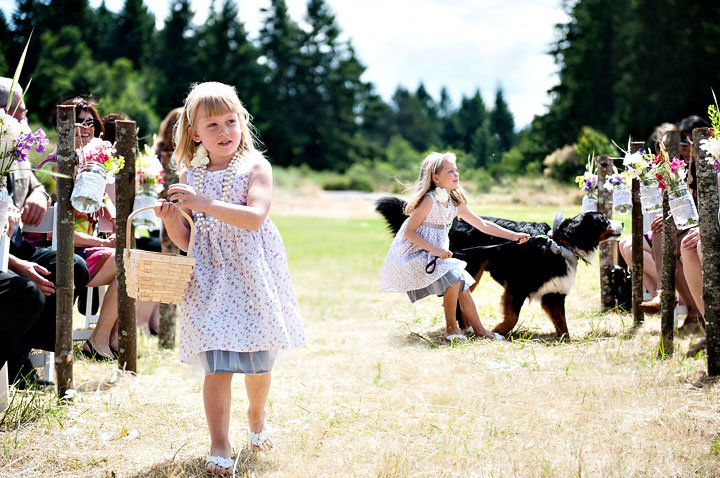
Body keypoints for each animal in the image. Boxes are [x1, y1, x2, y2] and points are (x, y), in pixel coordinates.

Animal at [374, 196, 620, 338]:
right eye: (604, 220)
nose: (622, 223)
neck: (560, 243)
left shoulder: (554, 293)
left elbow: (563, 325)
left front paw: (565, 339)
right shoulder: (518, 284)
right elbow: (512, 317)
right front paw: (497, 332)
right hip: (472, 268)